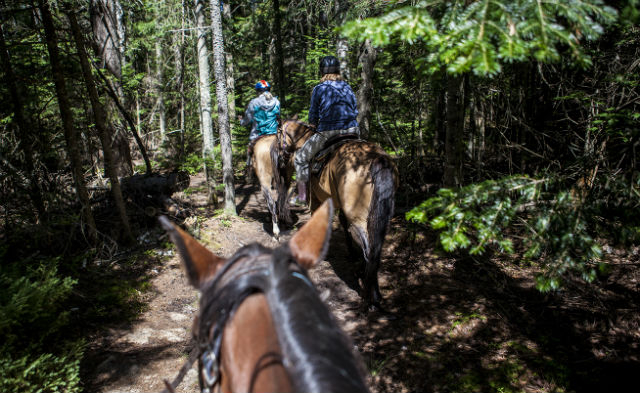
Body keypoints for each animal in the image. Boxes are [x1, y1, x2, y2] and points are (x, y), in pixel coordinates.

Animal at [278, 119, 398, 310]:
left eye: (278, 133)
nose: (281, 160)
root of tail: (377, 159)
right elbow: (342, 223)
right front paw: (351, 254)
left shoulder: (318, 201)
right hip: (379, 217)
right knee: (375, 248)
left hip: (358, 217)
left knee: (369, 250)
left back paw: (369, 296)